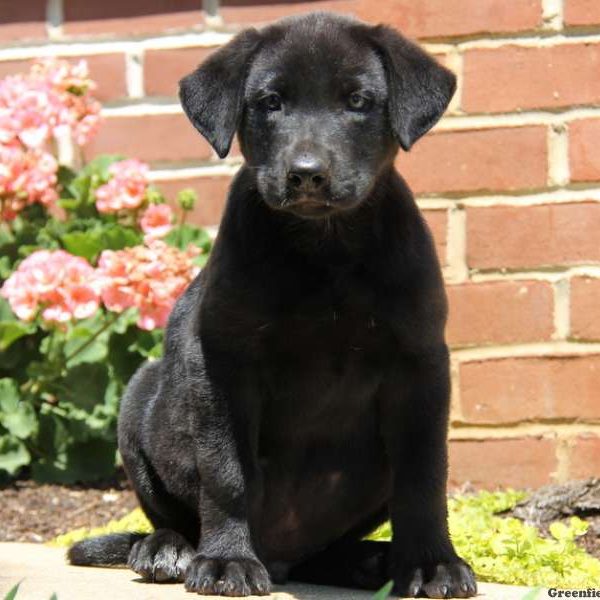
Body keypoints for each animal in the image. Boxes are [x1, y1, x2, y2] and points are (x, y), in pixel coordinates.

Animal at [68, 11, 476, 596]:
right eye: (271, 102)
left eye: (358, 101)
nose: (306, 173)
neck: (325, 249)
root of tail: (284, 555)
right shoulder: (222, 363)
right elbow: (227, 473)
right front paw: (225, 561)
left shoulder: (420, 363)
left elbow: (423, 474)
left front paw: (430, 564)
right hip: (140, 397)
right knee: (170, 516)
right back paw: (168, 550)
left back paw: (367, 560)